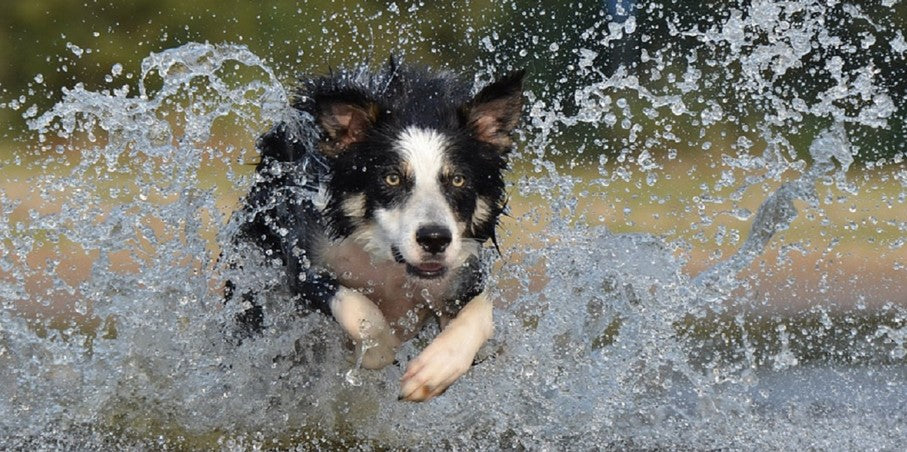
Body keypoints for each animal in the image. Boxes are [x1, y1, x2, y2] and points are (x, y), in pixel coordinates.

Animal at [227, 57, 524, 402]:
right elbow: (359, 309)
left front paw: (435, 370)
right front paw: (377, 350)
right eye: (392, 178)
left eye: (458, 180)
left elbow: (481, 312)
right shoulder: (304, 261)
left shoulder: (462, 272)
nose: (434, 239)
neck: (388, 263)